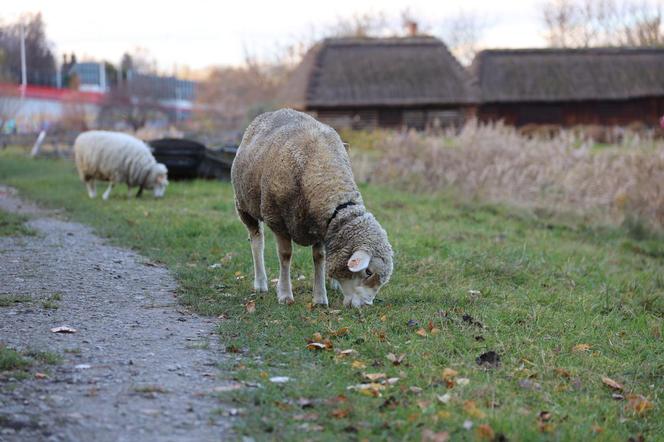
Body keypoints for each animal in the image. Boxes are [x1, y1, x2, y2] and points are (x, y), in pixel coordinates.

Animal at [231, 109, 392, 308]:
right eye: (368, 271)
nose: (366, 305)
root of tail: (274, 111)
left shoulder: (321, 226)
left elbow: (320, 258)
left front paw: (320, 298)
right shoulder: (278, 220)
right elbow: (285, 255)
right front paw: (285, 294)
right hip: (244, 205)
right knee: (256, 240)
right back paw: (261, 283)